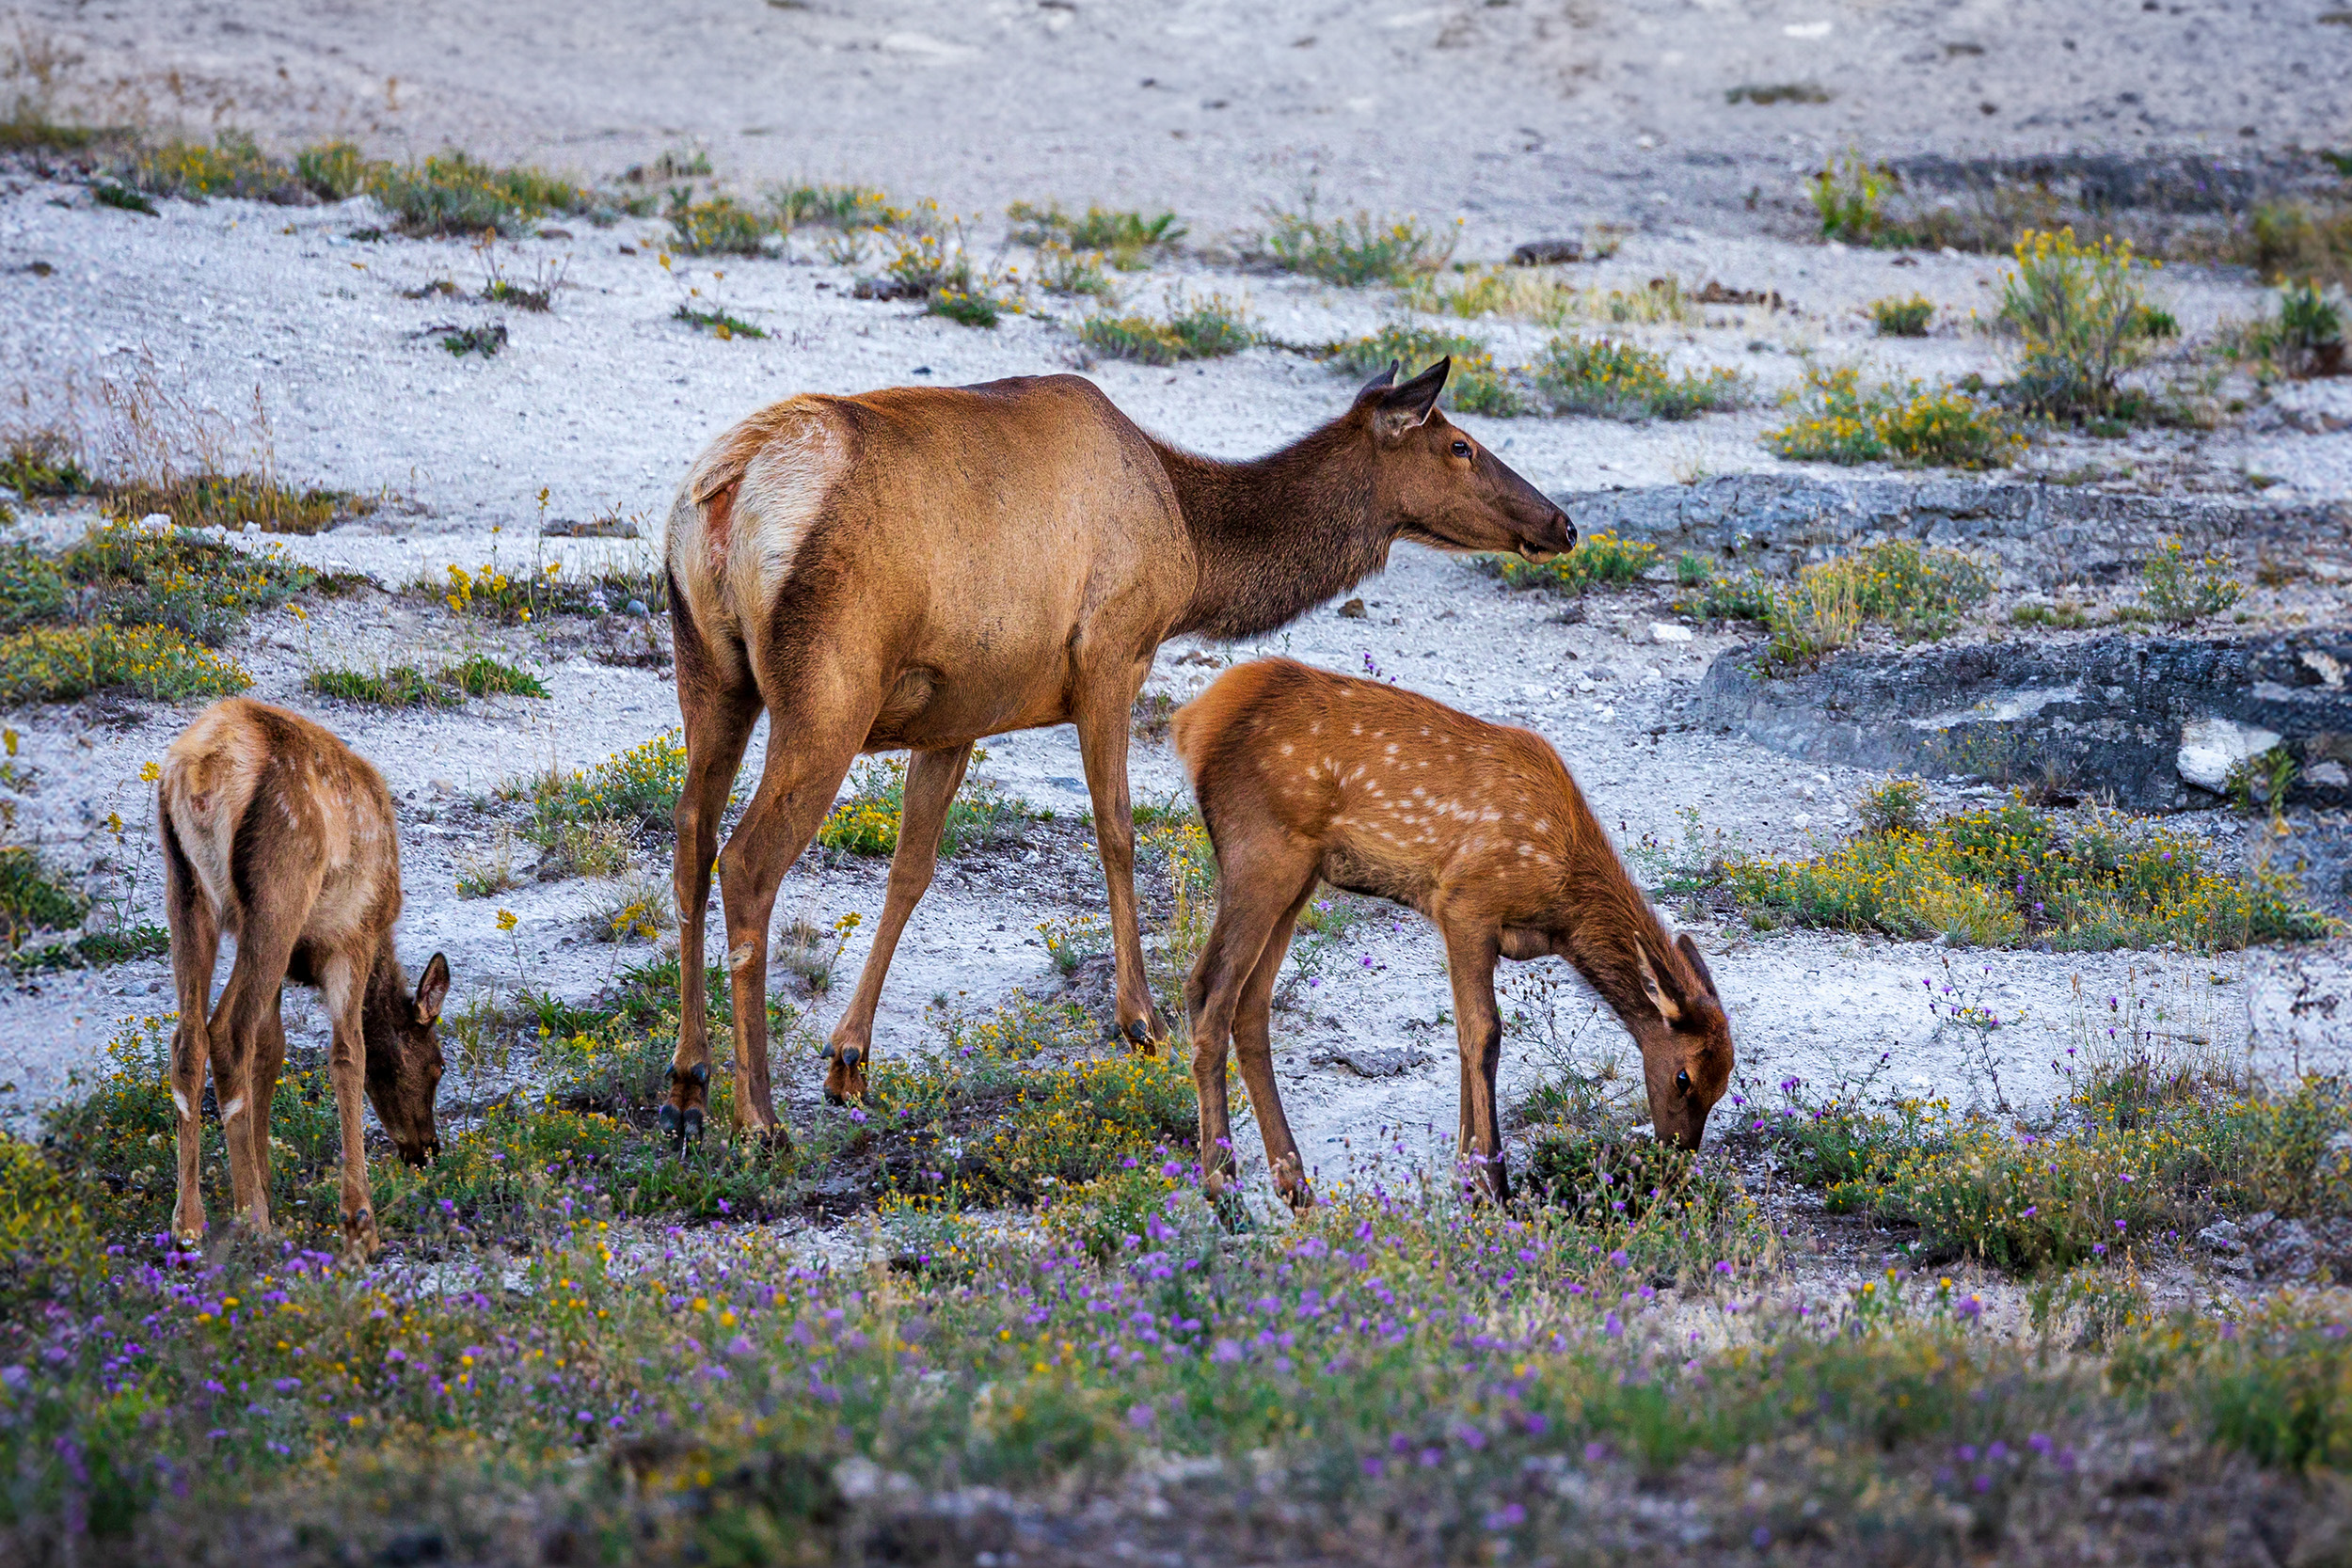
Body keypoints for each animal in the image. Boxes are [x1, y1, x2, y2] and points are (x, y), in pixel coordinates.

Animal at [158, 697, 450, 1261]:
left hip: (186, 887)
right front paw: (359, 1223)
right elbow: (348, 1055)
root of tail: (203, 771)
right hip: (281, 885)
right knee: (228, 1033)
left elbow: (272, 1050)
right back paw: (252, 1220)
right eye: (438, 1066)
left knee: (190, 1037)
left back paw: (191, 1224)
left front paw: (267, 1185)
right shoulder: (351, 935)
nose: (426, 1150)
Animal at [658, 357, 1575, 1150]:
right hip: (828, 690)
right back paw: (757, 1114)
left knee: (691, 837)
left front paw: (850, 1056)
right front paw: (1141, 1018)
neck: (1195, 551)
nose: (1562, 523)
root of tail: (725, 488)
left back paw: (687, 1084)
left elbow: (912, 869)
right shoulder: (1111, 652)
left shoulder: (959, 710)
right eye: (1460, 445)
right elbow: (1117, 832)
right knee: (748, 860)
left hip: (710, 670)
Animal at [1171, 657, 1733, 1210]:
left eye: (1724, 1085)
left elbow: (1466, 1037)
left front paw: (1467, 1176)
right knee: (1207, 989)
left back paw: (1293, 1183)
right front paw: (1493, 1187)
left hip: (1299, 876)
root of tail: (1192, 722)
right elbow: (1483, 1034)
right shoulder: (1465, 902)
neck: (1563, 910)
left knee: (1250, 1004)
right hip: (1262, 850)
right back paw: (1222, 1188)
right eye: (1683, 1077)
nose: (1677, 1163)